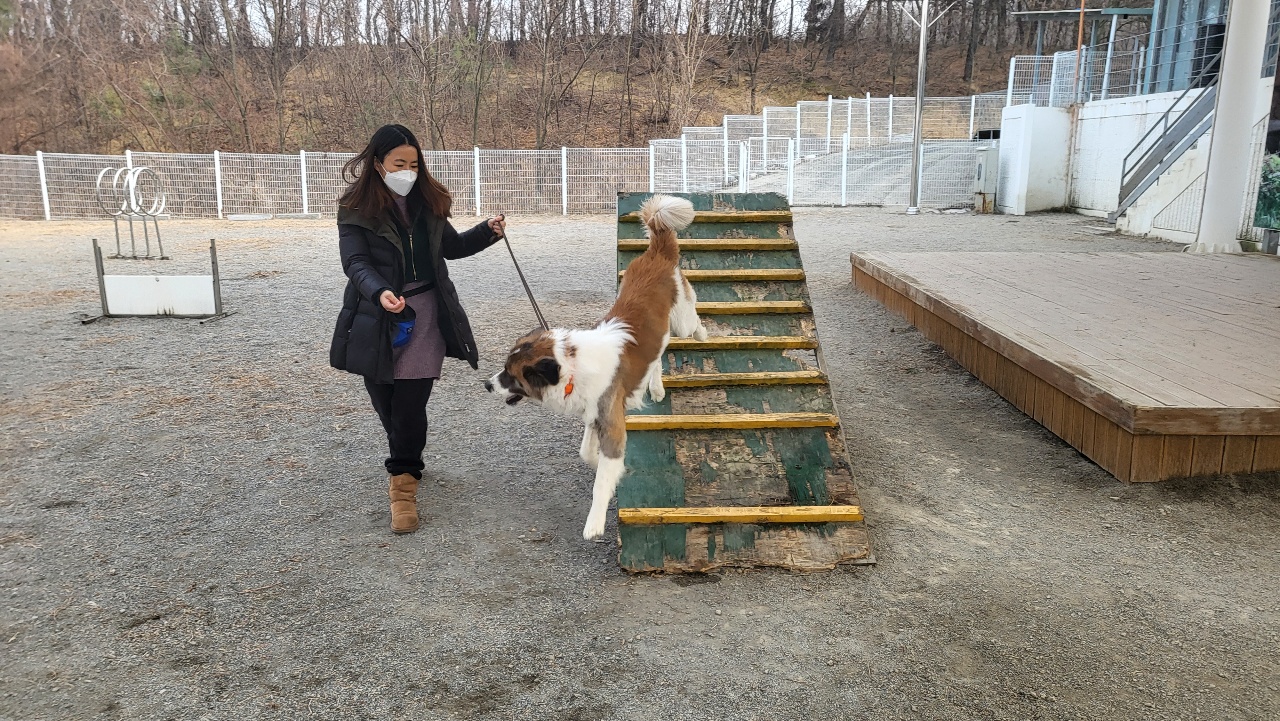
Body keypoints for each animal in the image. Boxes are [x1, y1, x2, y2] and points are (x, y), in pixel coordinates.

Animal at [485, 195, 705, 540]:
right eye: (504, 369)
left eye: (511, 374)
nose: (487, 384)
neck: (571, 365)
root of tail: (656, 253)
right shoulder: (594, 413)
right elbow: (587, 453)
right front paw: (598, 465)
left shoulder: (612, 425)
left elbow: (602, 478)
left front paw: (595, 522)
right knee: (657, 355)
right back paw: (655, 386)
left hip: (681, 320)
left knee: (693, 323)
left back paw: (705, 335)